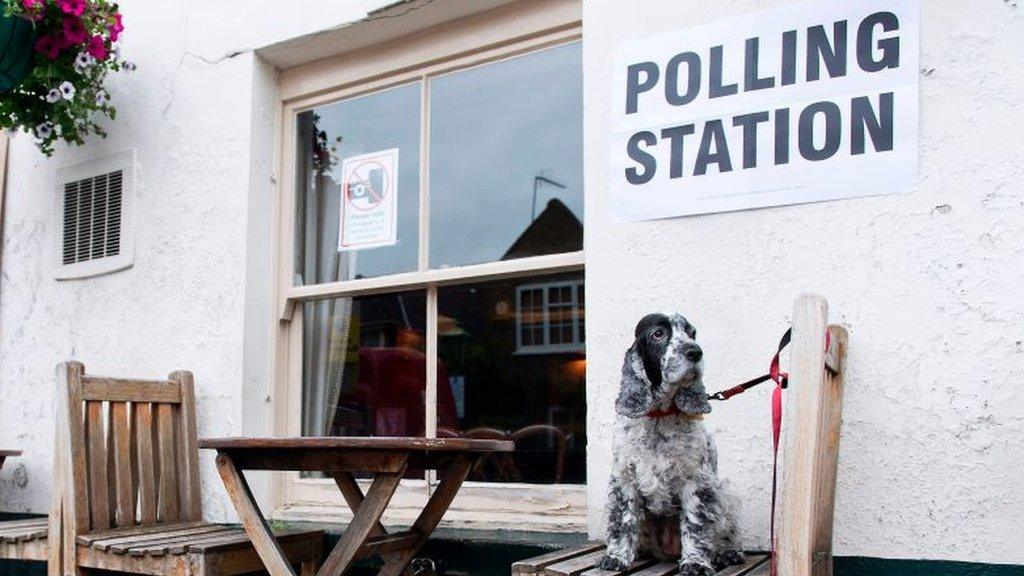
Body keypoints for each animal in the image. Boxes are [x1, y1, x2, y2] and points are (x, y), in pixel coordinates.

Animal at [598, 313, 745, 573]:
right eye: (658, 334)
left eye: (692, 333)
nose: (695, 352)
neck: (660, 414)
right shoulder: (623, 476)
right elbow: (622, 519)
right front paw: (615, 557)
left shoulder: (697, 480)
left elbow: (696, 523)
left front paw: (695, 562)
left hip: (724, 494)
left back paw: (727, 553)